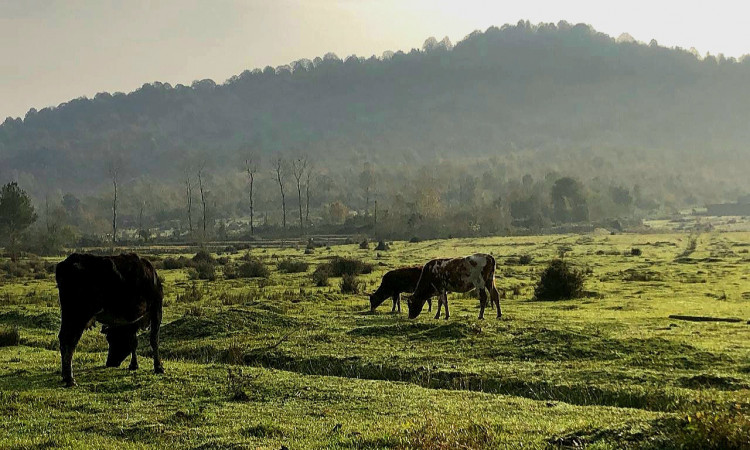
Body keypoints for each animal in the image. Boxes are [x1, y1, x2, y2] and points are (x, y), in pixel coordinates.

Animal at [56, 253, 166, 386]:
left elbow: (133, 342)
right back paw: (70, 378)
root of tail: (65, 264)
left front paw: (134, 365)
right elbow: (154, 340)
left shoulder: (131, 321)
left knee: (63, 339)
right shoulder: (156, 308)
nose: (110, 363)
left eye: (113, 339)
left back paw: (64, 375)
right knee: (69, 341)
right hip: (78, 316)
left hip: (67, 315)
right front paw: (158, 367)